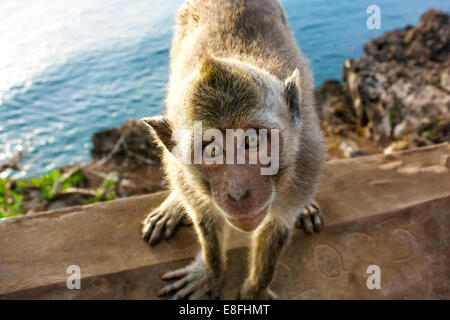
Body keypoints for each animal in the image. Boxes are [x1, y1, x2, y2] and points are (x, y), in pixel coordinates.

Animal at [140, 0, 324, 300]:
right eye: (212, 150)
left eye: (251, 141)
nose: (238, 192)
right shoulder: (183, 174)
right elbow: (206, 221)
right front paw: (211, 272)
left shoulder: (307, 160)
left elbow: (276, 228)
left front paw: (256, 291)